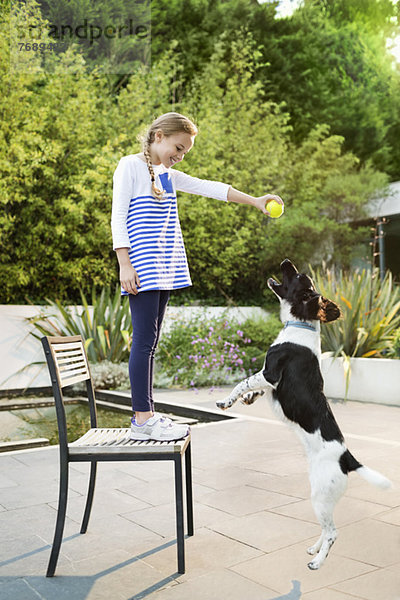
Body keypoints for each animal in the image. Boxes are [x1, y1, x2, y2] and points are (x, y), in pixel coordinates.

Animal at [217, 260, 390, 568]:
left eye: (298, 276)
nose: (286, 262)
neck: (299, 325)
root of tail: (347, 458)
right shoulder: (268, 381)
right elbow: (253, 390)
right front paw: (247, 399)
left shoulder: (270, 373)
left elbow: (242, 382)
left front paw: (226, 401)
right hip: (320, 497)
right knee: (325, 528)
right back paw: (313, 550)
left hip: (320, 497)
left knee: (333, 532)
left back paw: (317, 562)